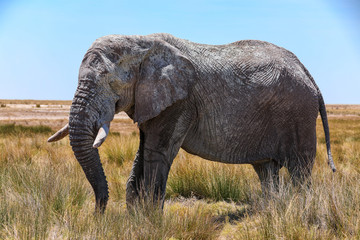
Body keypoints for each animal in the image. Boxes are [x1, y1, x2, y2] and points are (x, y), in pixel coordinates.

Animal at [47, 32, 334, 213]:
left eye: (110, 82)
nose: (99, 214)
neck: (141, 42)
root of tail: (308, 74)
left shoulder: (180, 101)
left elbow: (156, 153)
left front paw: (150, 222)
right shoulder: (153, 101)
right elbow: (143, 152)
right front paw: (136, 218)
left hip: (298, 114)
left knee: (299, 170)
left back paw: (300, 212)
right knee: (266, 169)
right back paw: (272, 210)